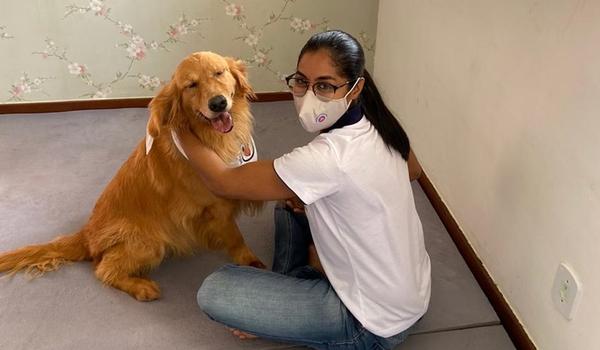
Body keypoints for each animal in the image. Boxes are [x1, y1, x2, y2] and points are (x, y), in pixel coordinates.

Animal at [0, 51, 264, 300]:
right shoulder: (218, 205)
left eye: (219, 73)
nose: (218, 103)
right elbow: (236, 237)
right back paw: (141, 287)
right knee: (104, 269)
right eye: (191, 85)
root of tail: (86, 234)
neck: (207, 135)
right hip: (151, 242)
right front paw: (250, 261)